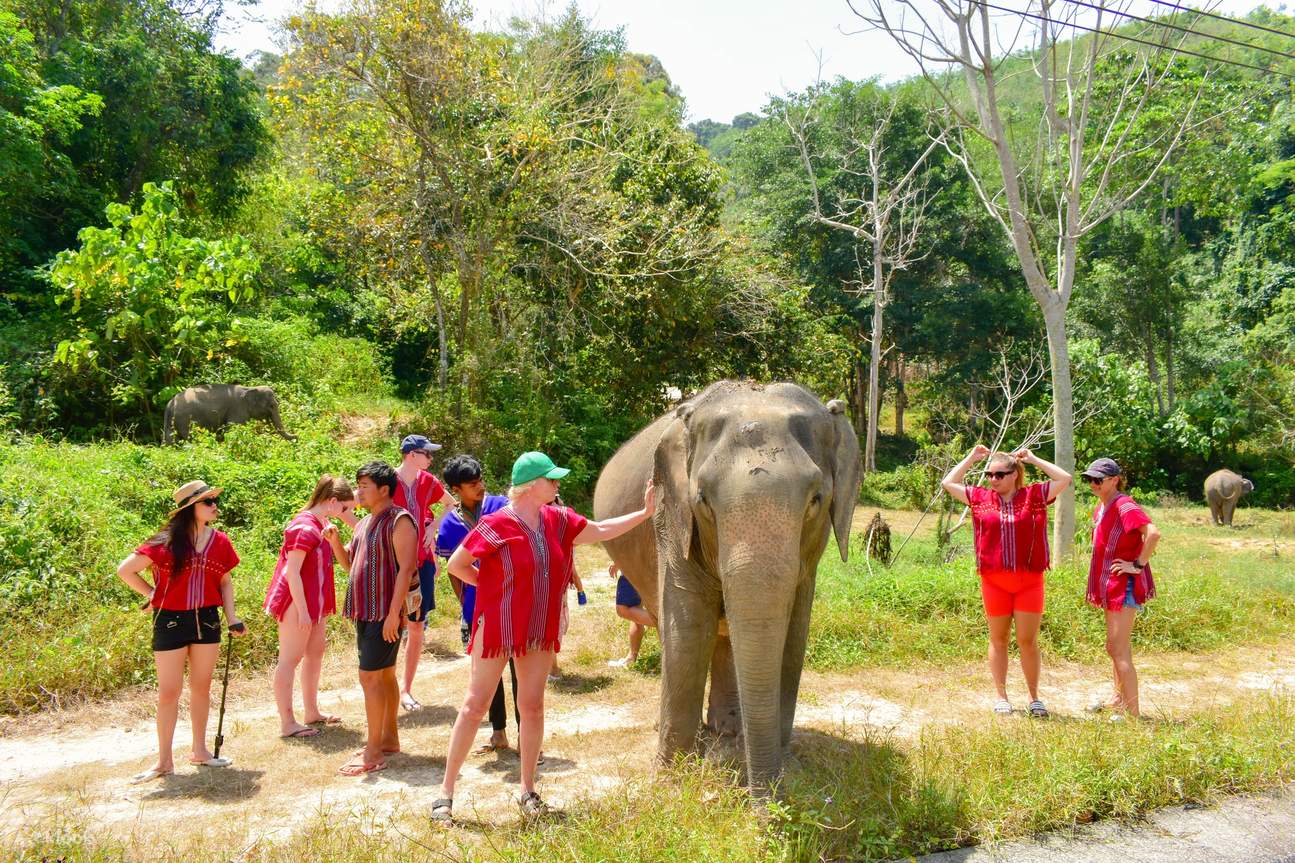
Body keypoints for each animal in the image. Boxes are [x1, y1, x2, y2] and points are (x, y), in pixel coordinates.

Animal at [161, 380, 296, 440]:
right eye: (272, 405)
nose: (297, 436)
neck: (249, 388)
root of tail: (171, 404)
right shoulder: (238, 410)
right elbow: (232, 428)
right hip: (184, 419)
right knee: (188, 437)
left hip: (171, 421)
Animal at [593, 375, 859, 787]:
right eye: (703, 499)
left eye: (816, 499)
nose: (768, 796)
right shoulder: (672, 521)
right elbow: (687, 628)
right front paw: (670, 777)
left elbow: (794, 635)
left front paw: (781, 765)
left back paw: (729, 729)